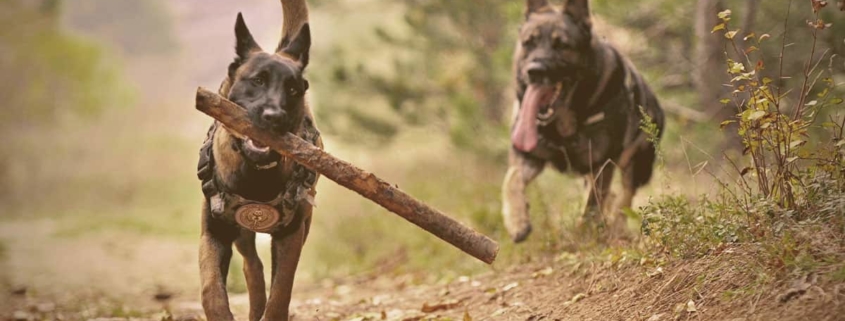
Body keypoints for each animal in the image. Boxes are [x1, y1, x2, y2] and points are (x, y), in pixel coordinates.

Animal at [195, 1, 320, 318]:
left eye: (292, 89)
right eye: (258, 81)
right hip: (241, 234)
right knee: (252, 265)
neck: (256, 173)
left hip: (304, 224)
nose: (274, 117)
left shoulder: (291, 235)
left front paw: (272, 309)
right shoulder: (214, 233)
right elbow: (211, 289)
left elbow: (281, 292)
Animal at [498, 0, 664, 241]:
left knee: (624, 198)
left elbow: (591, 208)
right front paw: (517, 220)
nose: (534, 71)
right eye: (529, 43)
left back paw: (617, 230)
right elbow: (510, 180)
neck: (562, 123)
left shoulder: (602, 165)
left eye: (562, 45)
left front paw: (584, 237)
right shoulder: (528, 157)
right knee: (612, 197)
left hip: (635, 167)